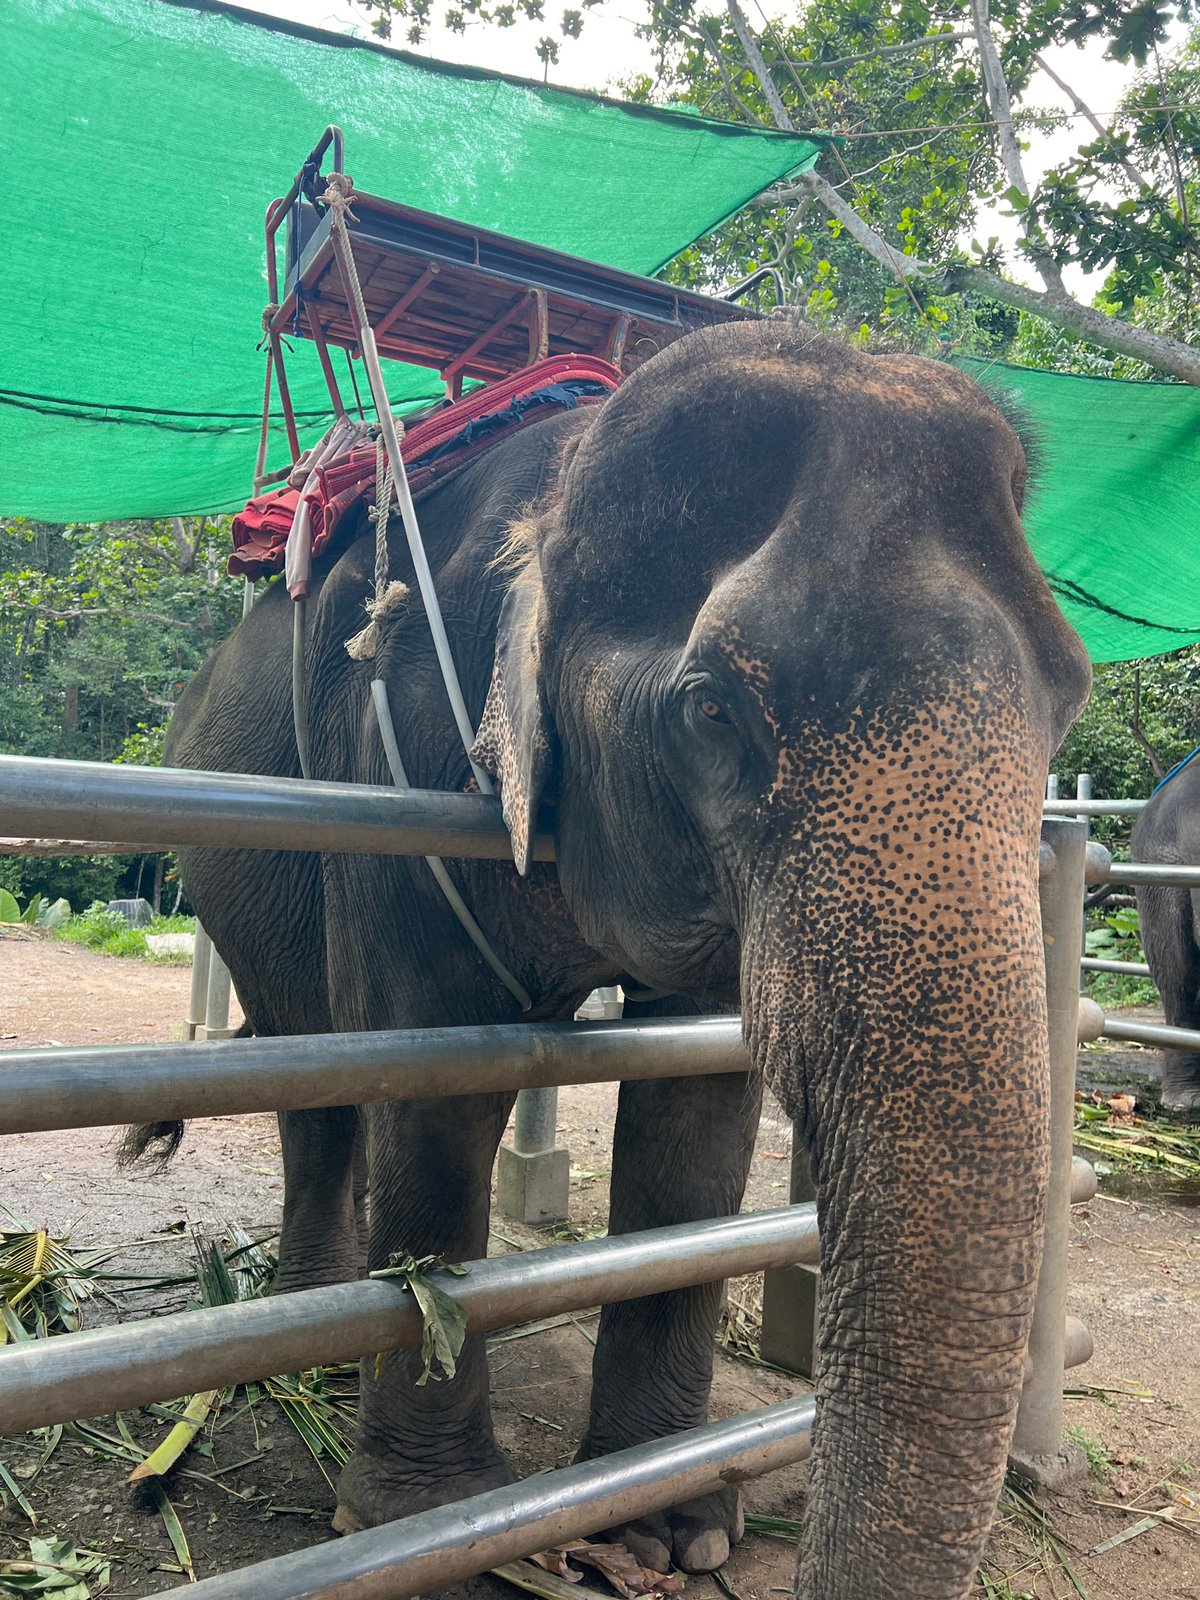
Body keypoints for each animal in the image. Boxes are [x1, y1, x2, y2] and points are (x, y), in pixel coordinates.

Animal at [125, 319, 1090, 1600]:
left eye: (1068, 702)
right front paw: (428, 1519)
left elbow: (695, 1108)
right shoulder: (393, 762)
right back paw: (312, 1351)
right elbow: (432, 1073)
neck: (567, 478)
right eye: (715, 712)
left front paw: (669, 1532)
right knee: (315, 1063)